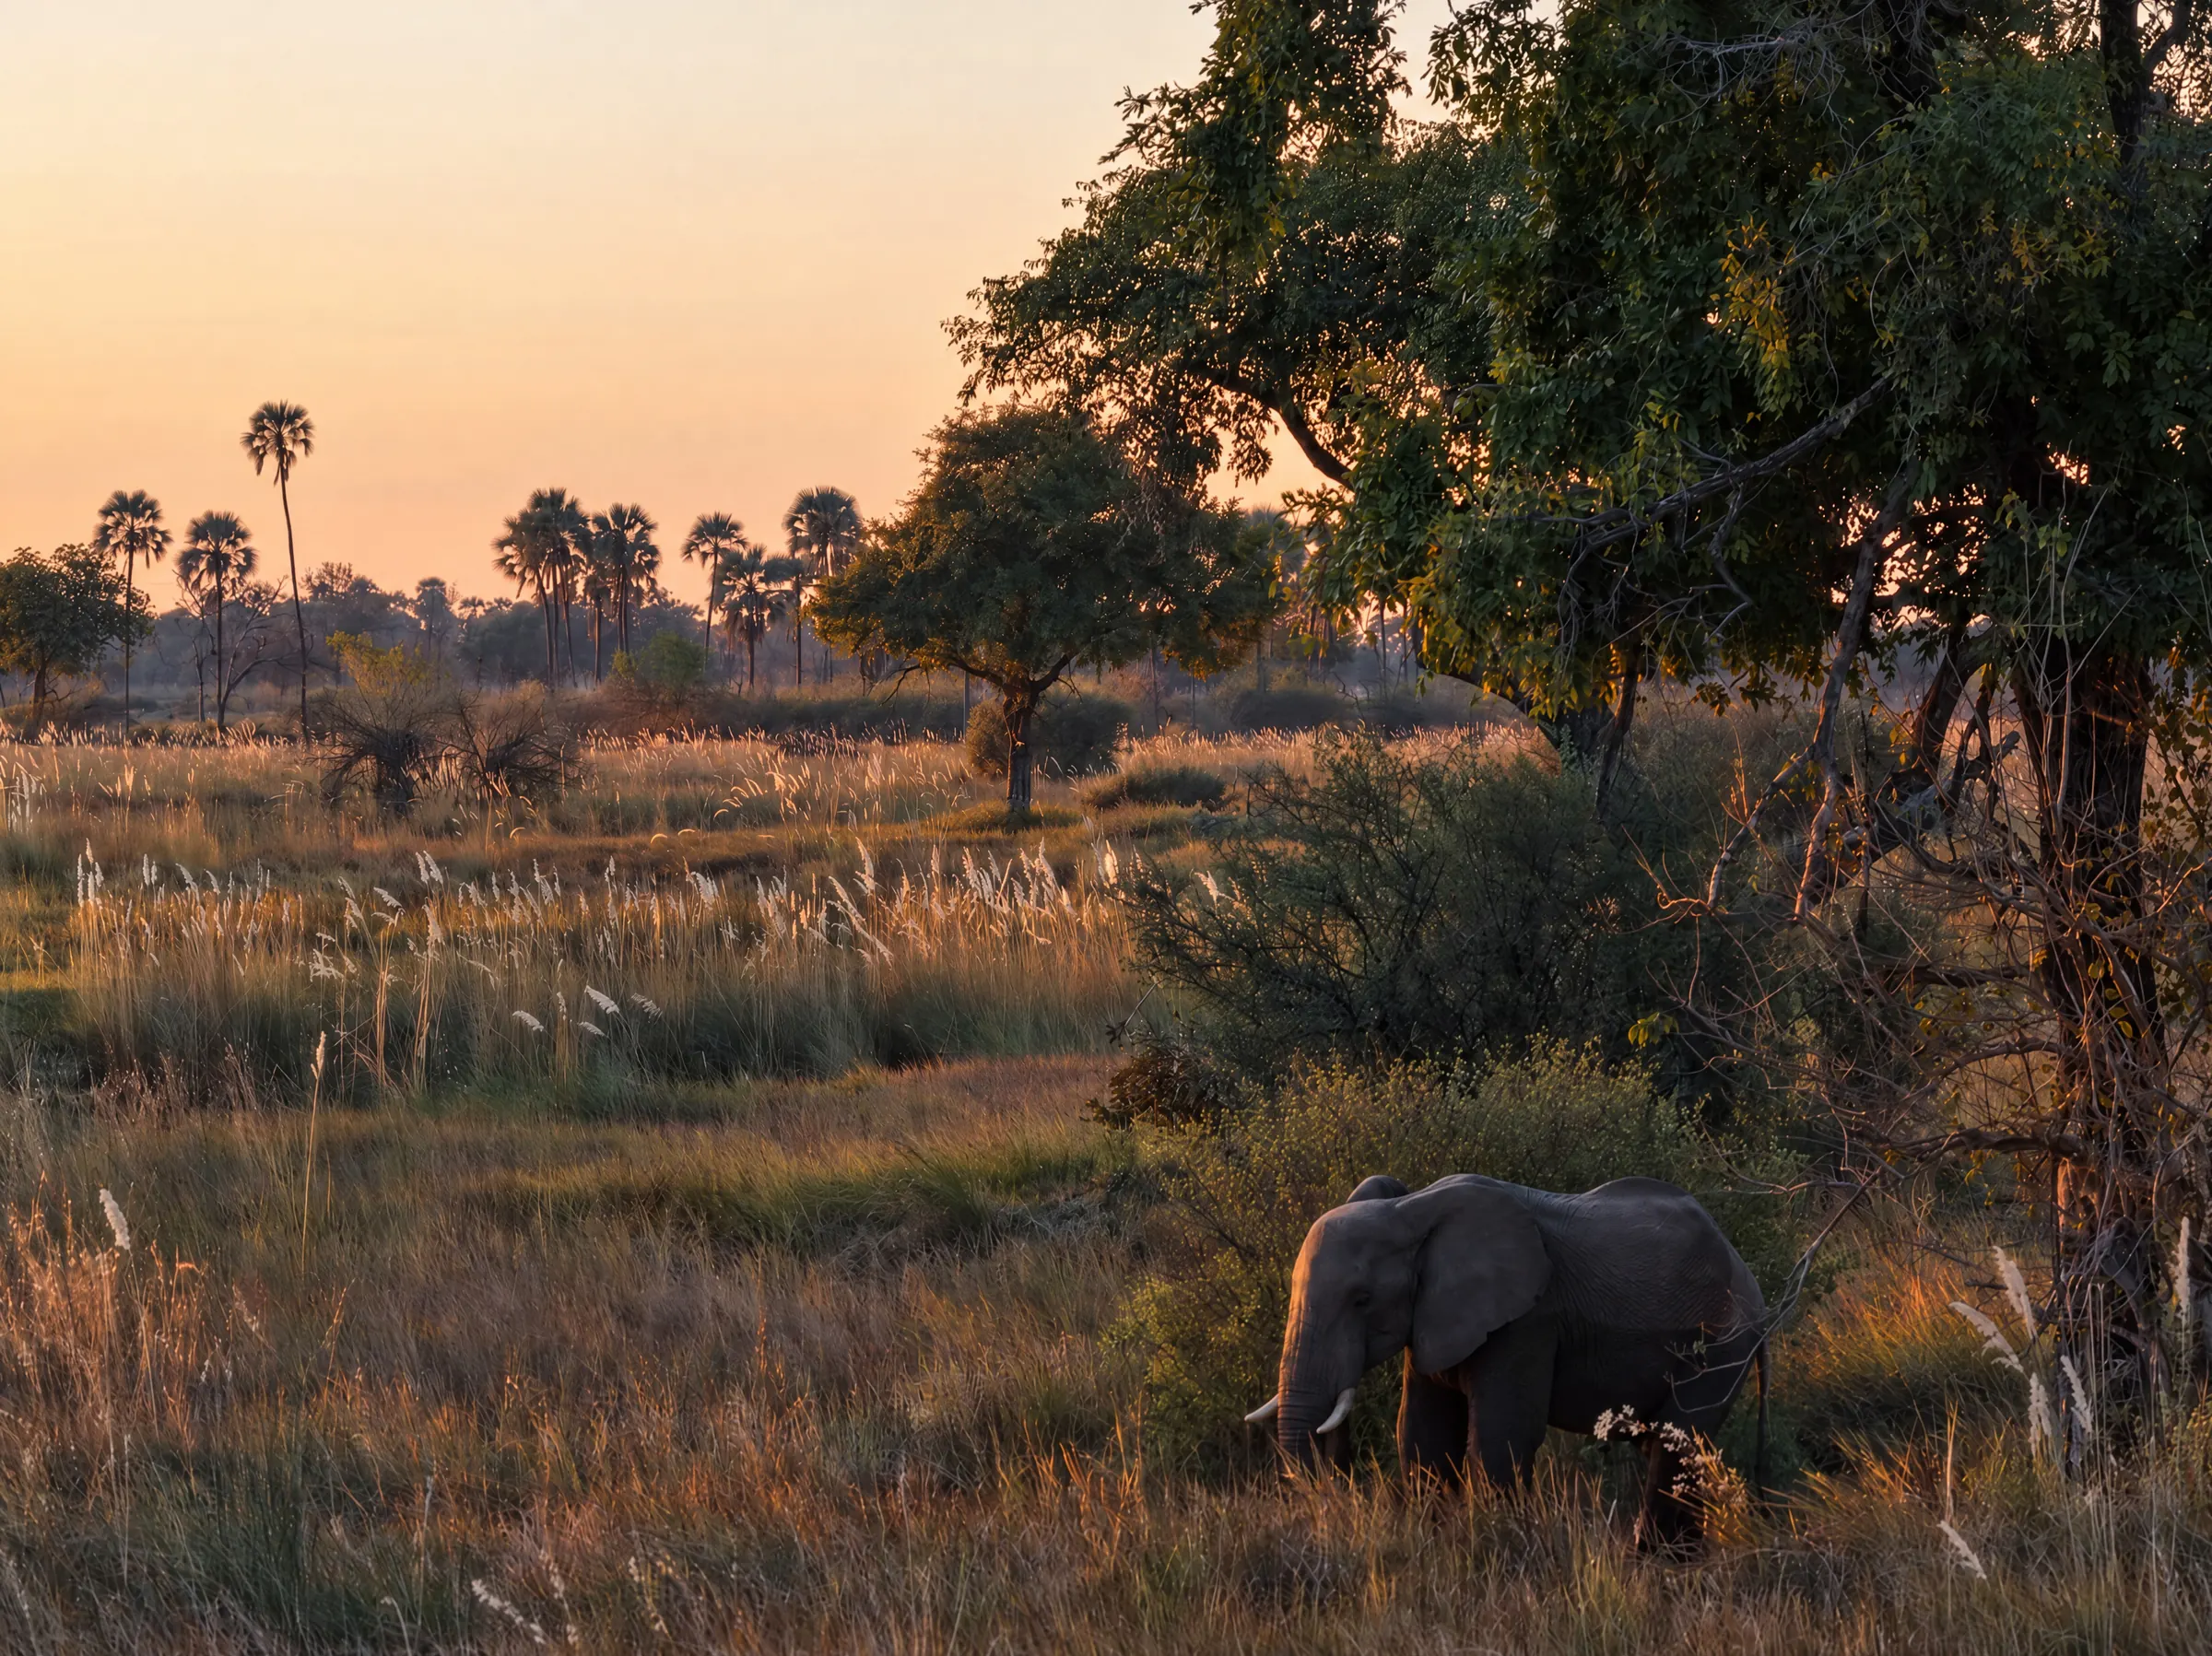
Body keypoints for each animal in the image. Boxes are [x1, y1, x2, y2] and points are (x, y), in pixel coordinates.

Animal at [1243, 1172, 1768, 1545]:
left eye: (1362, 1299)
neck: (1410, 1211)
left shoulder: (1528, 1321)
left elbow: (1502, 1434)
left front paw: (1496, 1548)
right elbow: (1422, 1434)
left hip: (1722, 1344)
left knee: (1677, 1445)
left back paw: (1655, 1565)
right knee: (1672, 1446)